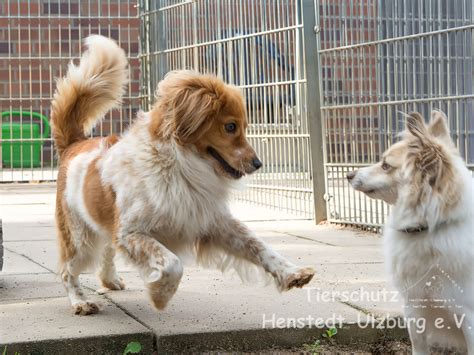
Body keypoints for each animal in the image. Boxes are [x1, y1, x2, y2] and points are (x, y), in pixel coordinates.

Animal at [50, 35, 314, 314]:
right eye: (230, 126)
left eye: (244, 126)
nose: (258, 163)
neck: (181, 165)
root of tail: (75, 144)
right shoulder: (131, 233)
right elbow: (172, 263)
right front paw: (160, 295)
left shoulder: (213, 222)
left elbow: (260, 247)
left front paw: (293, 273)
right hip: (79, 238)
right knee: (68, 270)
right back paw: (80, 301)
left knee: (107, 252)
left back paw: (110, 280)